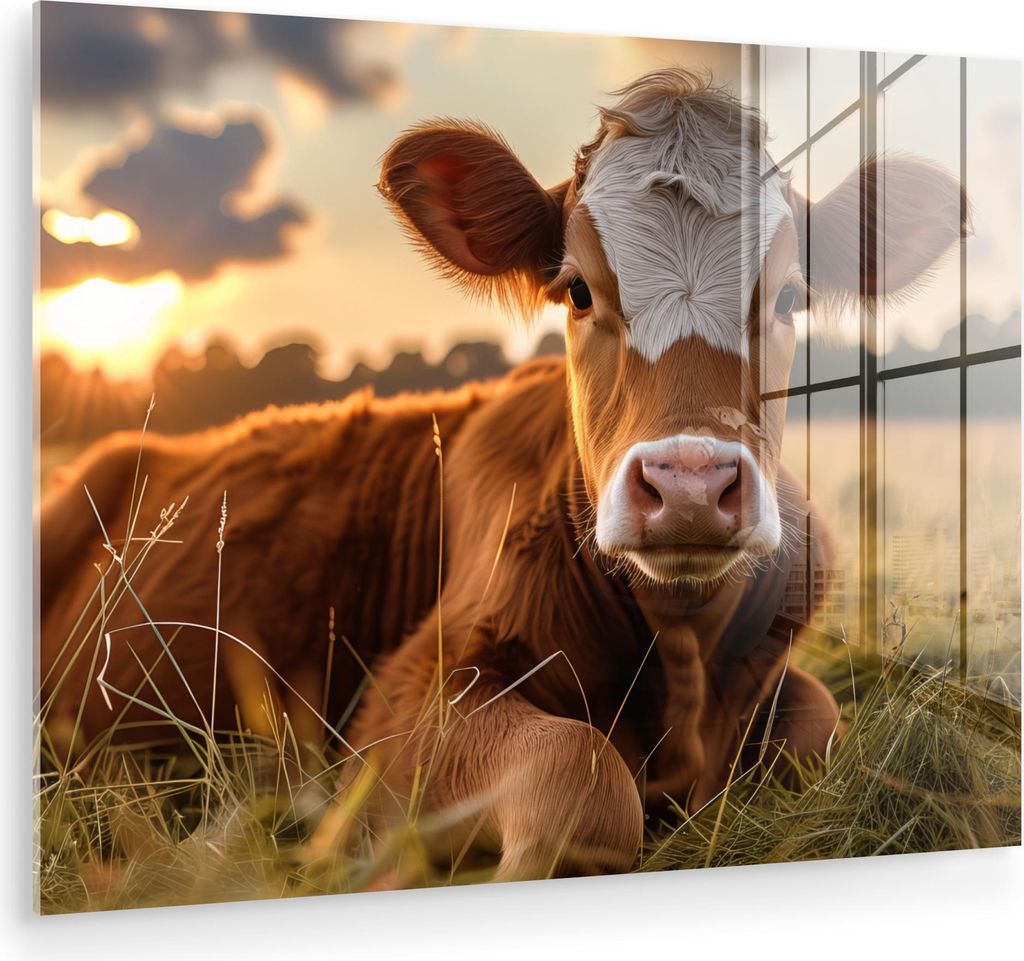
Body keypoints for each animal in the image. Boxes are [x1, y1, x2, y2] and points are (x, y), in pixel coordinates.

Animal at [37, 69, 965, 883]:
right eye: (577, 290)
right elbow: (581, 775)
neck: (679, 656)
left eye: (787, 297)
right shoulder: (404, 702)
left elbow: (821, 724)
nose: (690, 486)